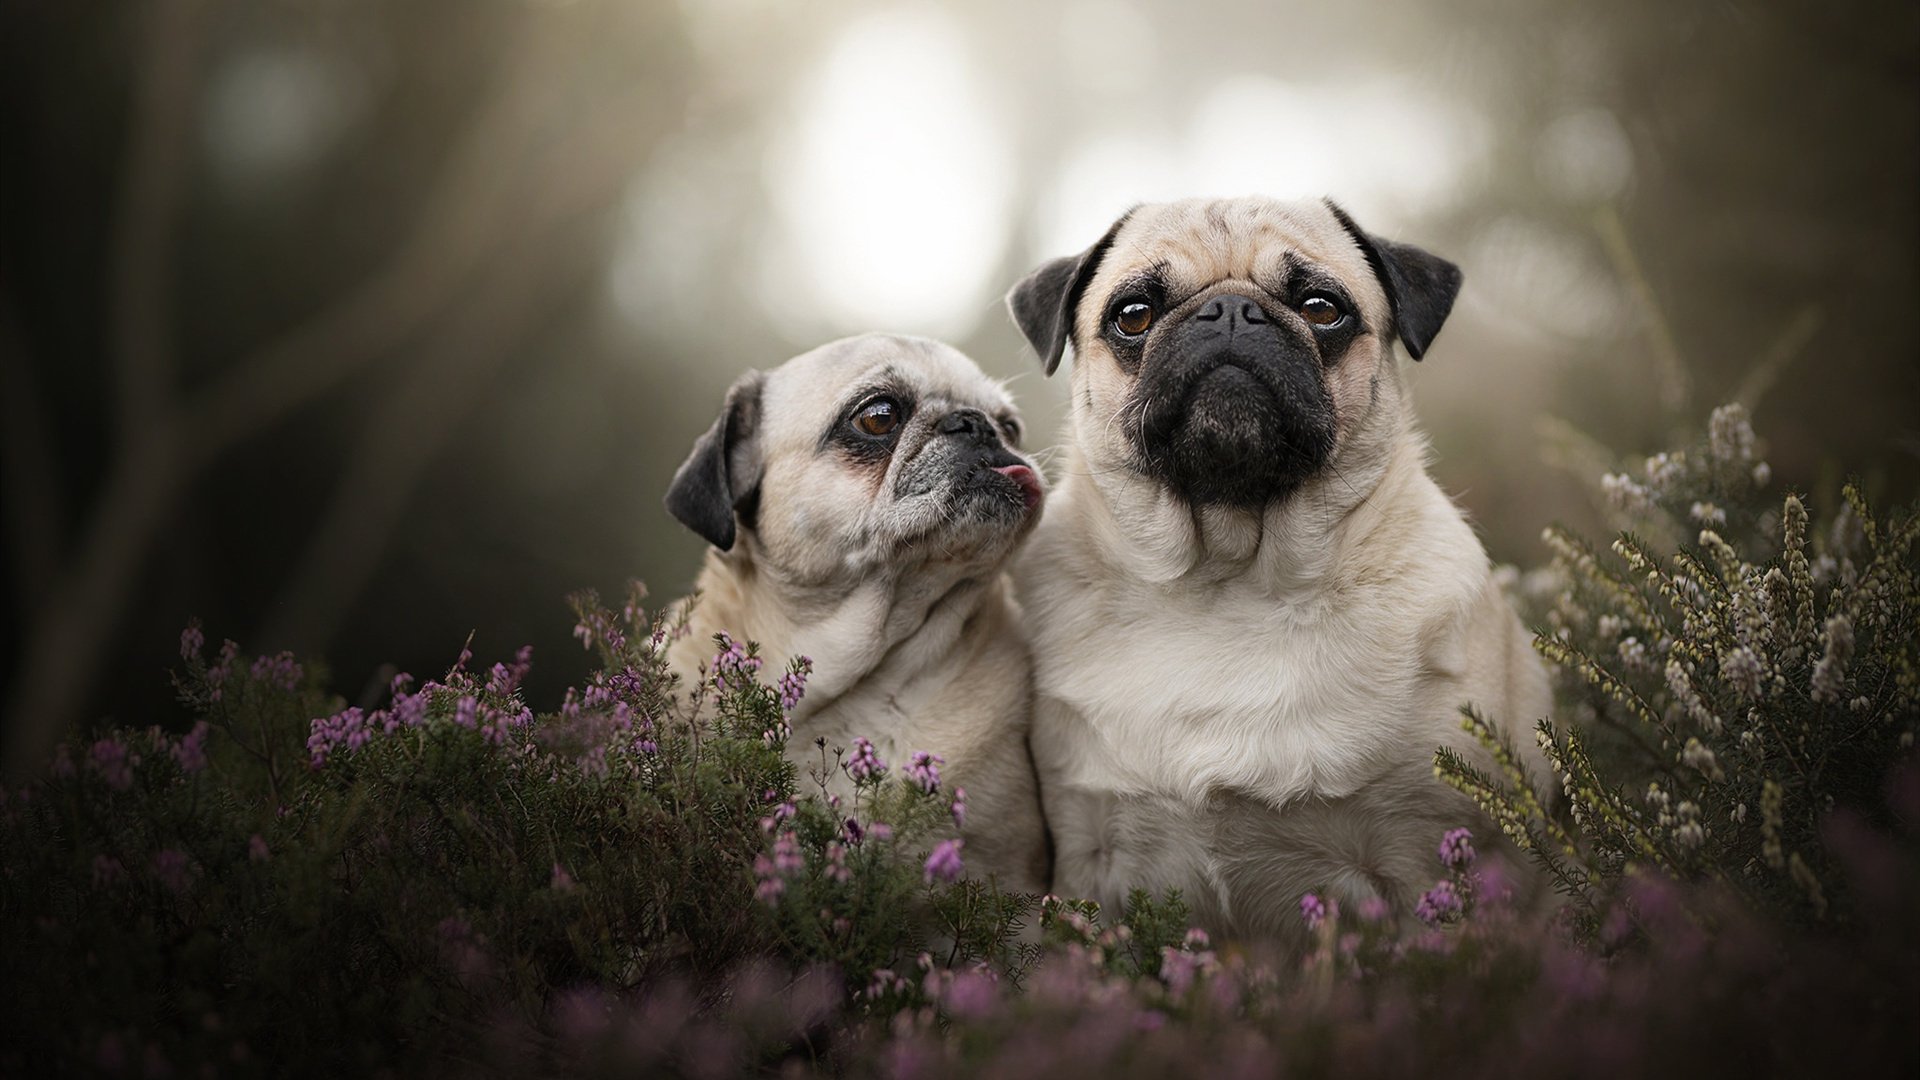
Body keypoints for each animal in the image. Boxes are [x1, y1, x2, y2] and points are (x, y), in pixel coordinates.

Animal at [1013, 197, 1551, 937]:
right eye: (1134, 315)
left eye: (1323, 309)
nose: (1231, 311)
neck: (1229, 578)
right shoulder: (1087, 860)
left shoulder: (1424, 852)